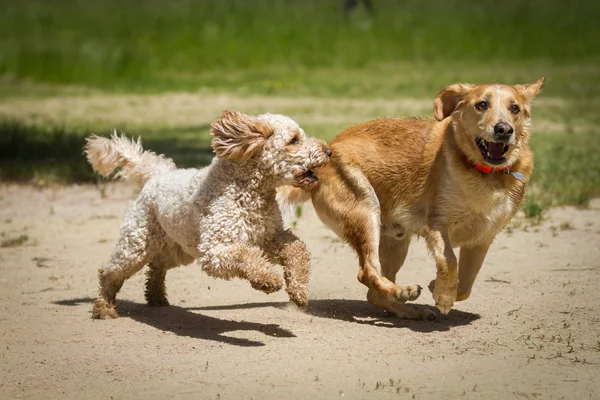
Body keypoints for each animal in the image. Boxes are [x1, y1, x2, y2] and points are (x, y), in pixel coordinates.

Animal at [84, 109, 330, 318]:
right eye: (294, 140)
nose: (328, 151)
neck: (246, 190)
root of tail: (157, 175)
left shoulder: (268, 237)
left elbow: (297, 249)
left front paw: (298, 291)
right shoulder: (215, 250)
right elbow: (246, 255)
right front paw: (267, 279)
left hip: (180, 247)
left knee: (157, 265)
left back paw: (156, 297)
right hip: (135, 246)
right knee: (109, 272)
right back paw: (104, 307)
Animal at [278, 79, 548, 320]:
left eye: (515, 108)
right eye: (482, 104)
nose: (503, 129)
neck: (485, 174)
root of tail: (324, 155)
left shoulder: (482, 239)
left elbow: (466, 284)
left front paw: (439, 288)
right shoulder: (436, 225)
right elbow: (450, 262)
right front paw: (443, 296)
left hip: (396, 240)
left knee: (373, 291)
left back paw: (405, 306)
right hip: (365, 211)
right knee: (367, 272)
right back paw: (402, 291)